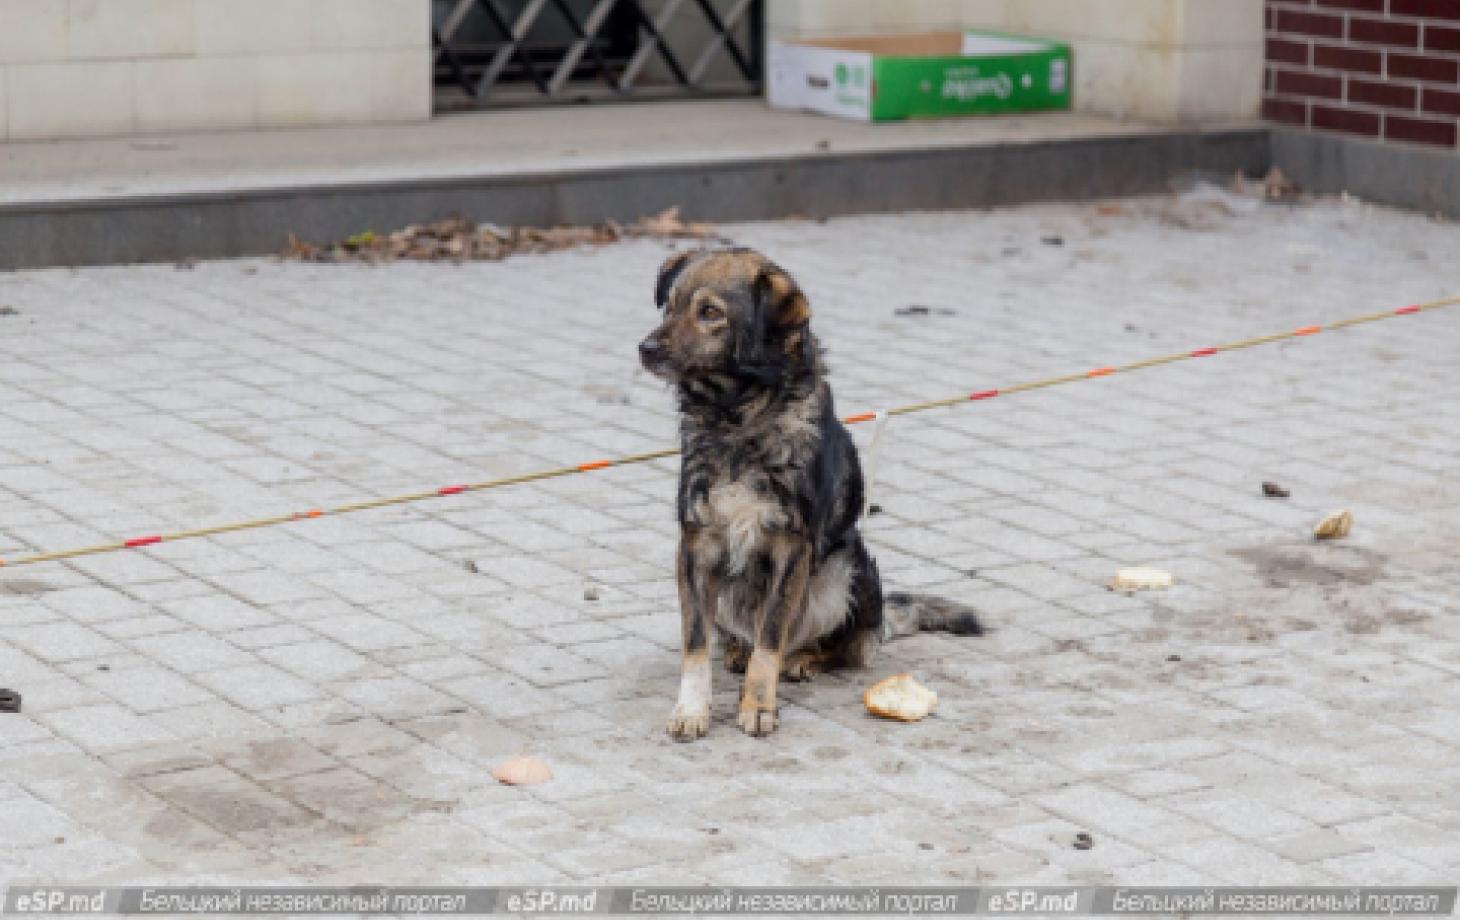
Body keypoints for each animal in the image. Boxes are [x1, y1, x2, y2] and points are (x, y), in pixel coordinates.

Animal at [639, 246, 981, 741]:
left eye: (710, 312)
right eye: (670, 306)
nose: (645, 348)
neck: (737, 418)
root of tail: (883, 623)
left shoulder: (790, 548)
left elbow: (770, 638)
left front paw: (758, 705)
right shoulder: (697, 546)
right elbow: (696, 643)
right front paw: (692, 707)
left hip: (849, 568)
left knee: (835, 647)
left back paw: (802, 659)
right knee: (741, 635)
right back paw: (738, 651)